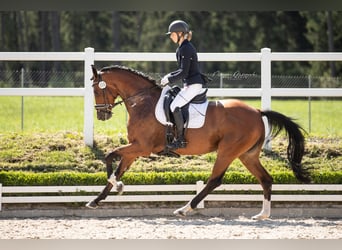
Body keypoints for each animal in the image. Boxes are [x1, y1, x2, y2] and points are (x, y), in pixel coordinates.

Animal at [85, 64, 310, 219]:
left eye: (95, 90)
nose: (102, 115)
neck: (142, 101)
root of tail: (257, 111)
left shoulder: (141, 147)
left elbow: (109, 157)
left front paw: (118, 186)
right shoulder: (134, 149)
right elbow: (116, 168)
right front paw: (97, 200)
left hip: (228, 151)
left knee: (214, 180)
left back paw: (185, 208)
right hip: (248, 155)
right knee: (266, 179)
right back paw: (262, 215)